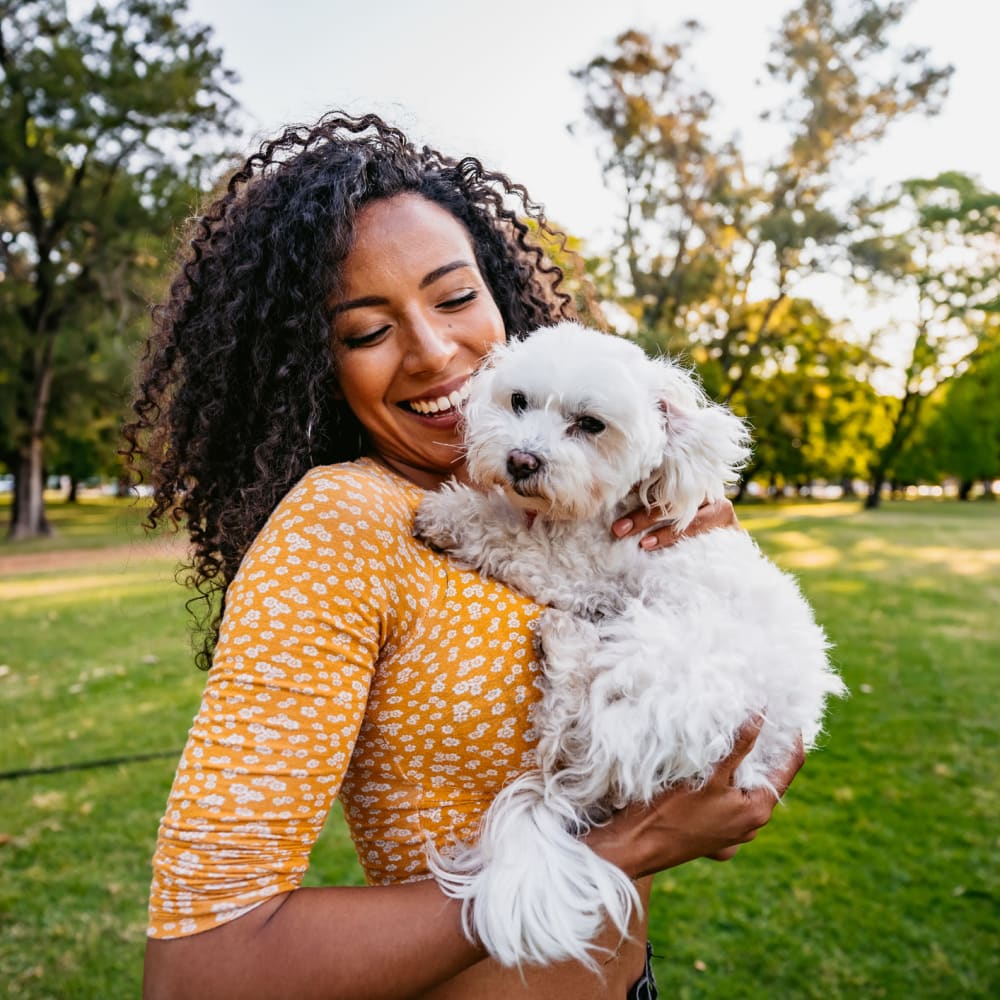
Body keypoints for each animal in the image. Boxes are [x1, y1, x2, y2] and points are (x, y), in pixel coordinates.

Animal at [412, 324, 844, 972]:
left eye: (590, 424)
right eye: (518, 402)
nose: (521, 460)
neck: (600, 514)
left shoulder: (580, 569)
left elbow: (511, 538)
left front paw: (451, 513)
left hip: (662, 662)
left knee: (571, 730)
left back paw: (565, 644)